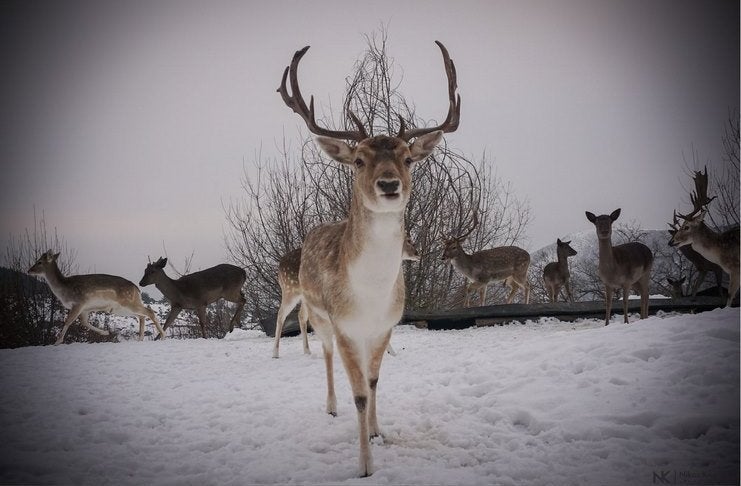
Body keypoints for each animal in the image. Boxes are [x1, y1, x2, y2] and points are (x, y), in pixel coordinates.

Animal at [27, 251, 165, 346]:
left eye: (39, 262)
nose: (29, 270)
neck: (64, 290)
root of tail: (137, 289)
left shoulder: (79, 303)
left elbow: (68, 321)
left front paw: (57, 341)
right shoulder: (85, 309)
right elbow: (84, 322)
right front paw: (105, 332)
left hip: (128, 303)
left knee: (149, 312)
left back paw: (163, 335)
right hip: (123, 308)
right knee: (141, 316)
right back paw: (140, 338)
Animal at [272, 237, 420, 358]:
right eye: (407, 239)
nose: (417, 253)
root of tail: (279, 265)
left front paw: (391, 352)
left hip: (305, 297)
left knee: (301, 316)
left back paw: (307, 351)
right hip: (289, 289)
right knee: (281, 315)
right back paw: (275, 353)